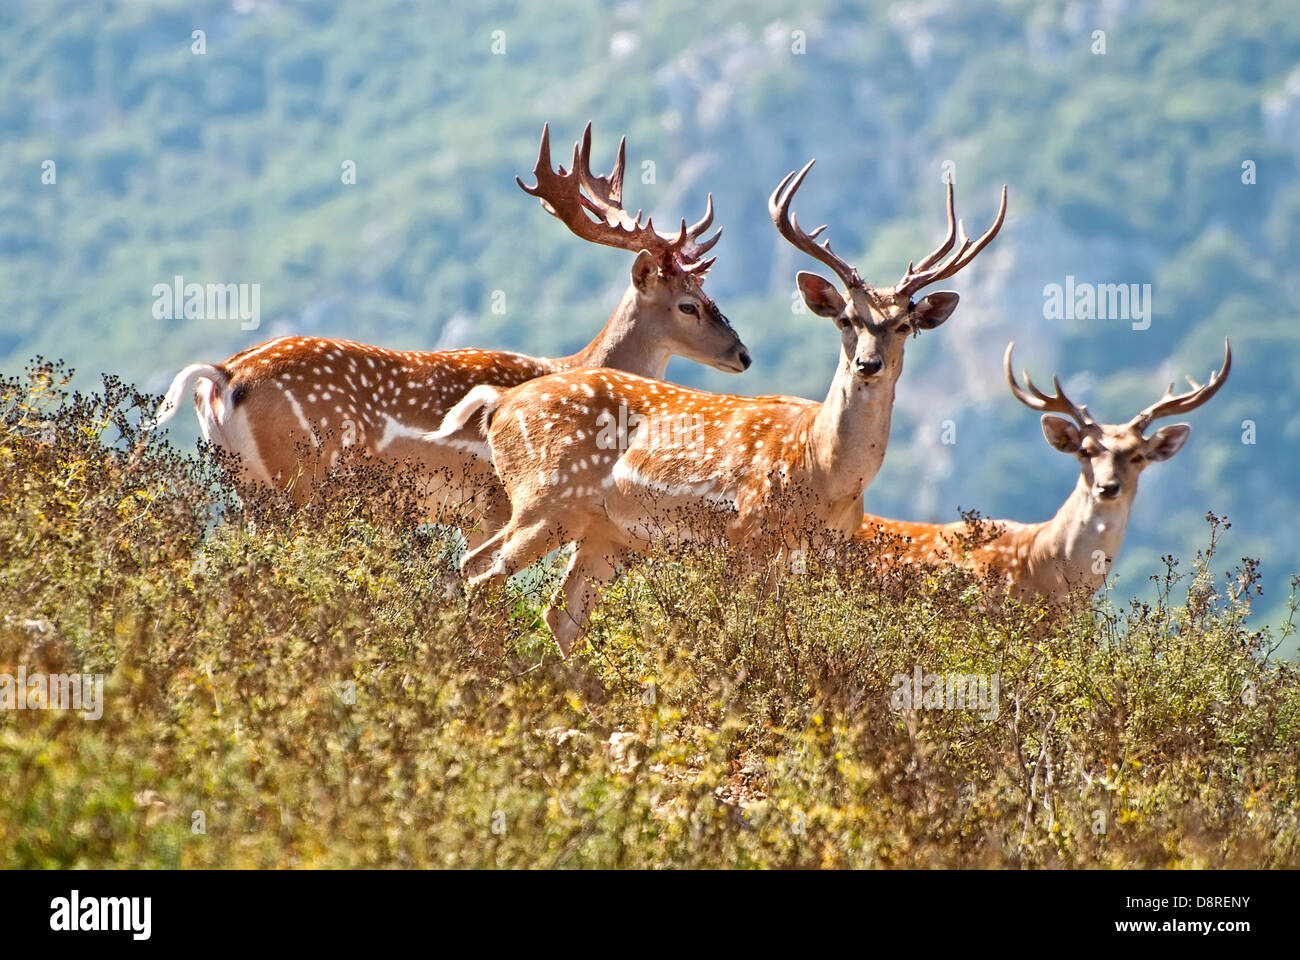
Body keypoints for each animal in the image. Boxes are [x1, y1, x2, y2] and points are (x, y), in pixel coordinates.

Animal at [148, 124, 750, 543]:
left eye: (708, 293)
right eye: (689, 305)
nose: (743, 354)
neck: (571, 368)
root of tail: (223, 376)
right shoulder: (493, 502)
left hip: (247, 488)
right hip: (300, 477)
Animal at [442, 160, 1007, 655]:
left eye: (904, 325)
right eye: (846, 318)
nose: (869, 364)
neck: (824, 474)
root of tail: (501, 405)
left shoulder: (827, 556)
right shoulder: (746, 536)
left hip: (604, 532)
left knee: (557, 611)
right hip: (545, 498)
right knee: (479, 570)